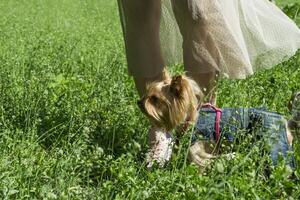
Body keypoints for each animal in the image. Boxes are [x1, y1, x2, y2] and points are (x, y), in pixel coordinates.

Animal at [138, 71, 298, 168]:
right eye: (147, 93)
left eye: (154, 99)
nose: (139, 102)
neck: (191, 118)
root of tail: (287, 123)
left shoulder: (200, 142)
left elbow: (198, 156)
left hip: (271, 140)